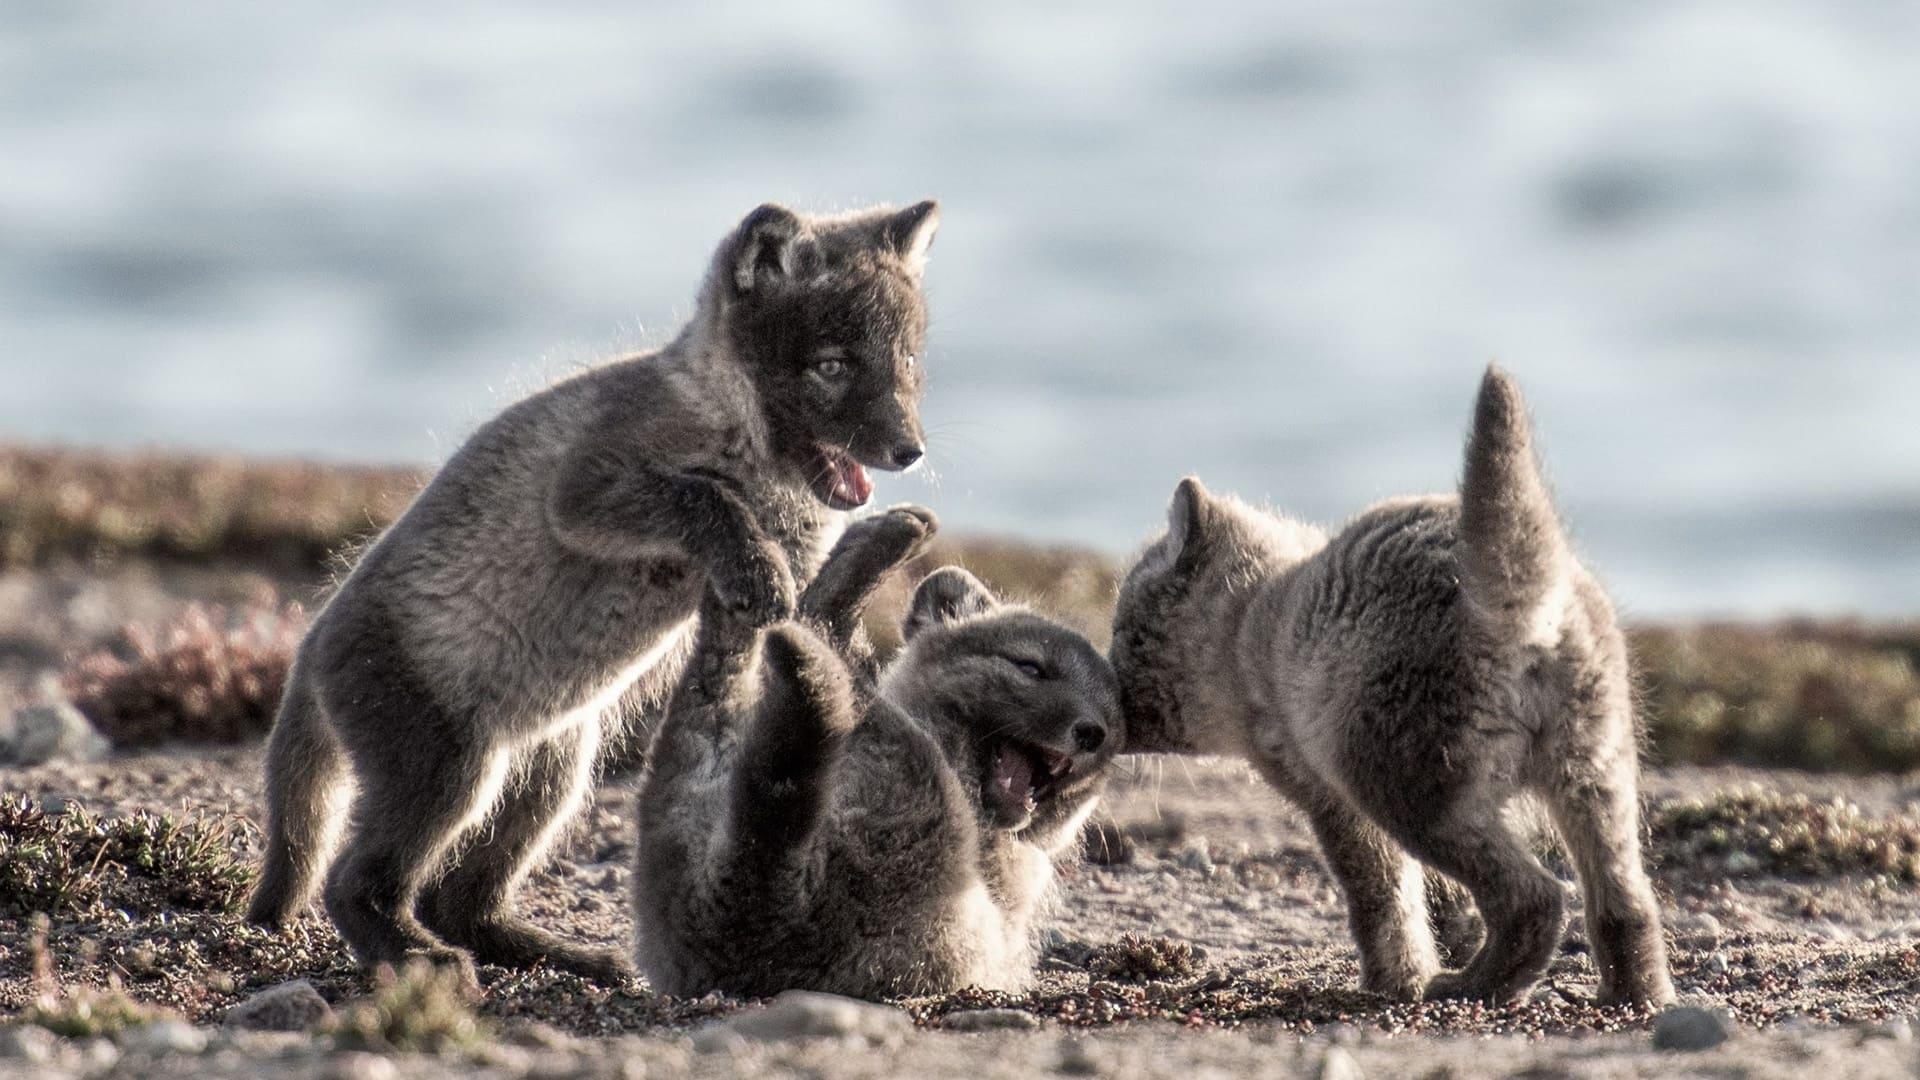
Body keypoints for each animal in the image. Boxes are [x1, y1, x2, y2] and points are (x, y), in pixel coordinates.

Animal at [1105, 365, 1674, 1006]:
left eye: (1125, 633)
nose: (1102, 699)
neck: (1256, 621)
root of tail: (1517, 607)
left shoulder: (1328, 792)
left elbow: (1380, 895)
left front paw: (1395, 979)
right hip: (1595, 772)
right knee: (1627, 903)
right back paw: (1636, 996)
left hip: (1407, 786)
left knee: (1536, 897)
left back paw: (1472, 985)